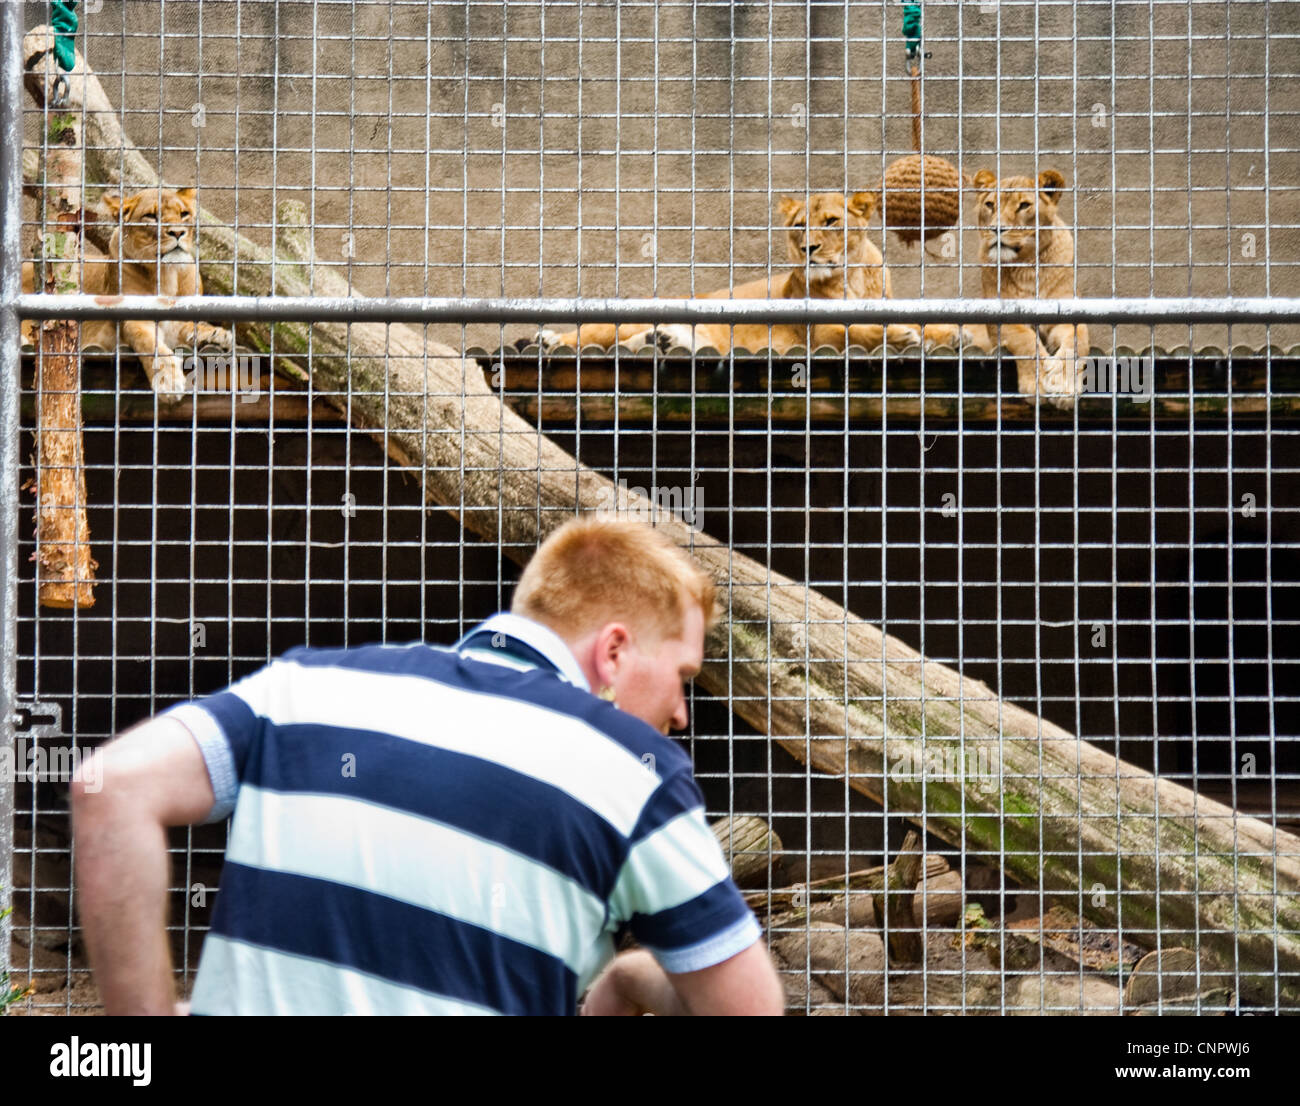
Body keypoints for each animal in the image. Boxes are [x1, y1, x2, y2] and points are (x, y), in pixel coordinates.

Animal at [23, 187, 231, 402]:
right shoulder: (130, 318)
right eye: (151, 216)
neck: (168, 275)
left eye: (184, 214)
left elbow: (189, 326)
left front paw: (215, 334)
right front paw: (168, 380)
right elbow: (148, 341)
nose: (178, 232)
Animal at [533, 192, 920, 356]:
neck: (851, 277)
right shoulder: (819, 330)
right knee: (587, 335)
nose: (808, 249)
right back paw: (546, 340)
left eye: (831, 222)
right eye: (799, 226)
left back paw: (661, 340)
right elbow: (855, 331)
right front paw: (901, 336)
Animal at [920, 164, 1092, 405]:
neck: (1026, 267)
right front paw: (1037, 384)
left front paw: (1065, 388)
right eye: (990, 205)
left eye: (1024, 205)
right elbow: (1026, 340)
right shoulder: (999, 321)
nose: (997, 229)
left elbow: (1077, 342)